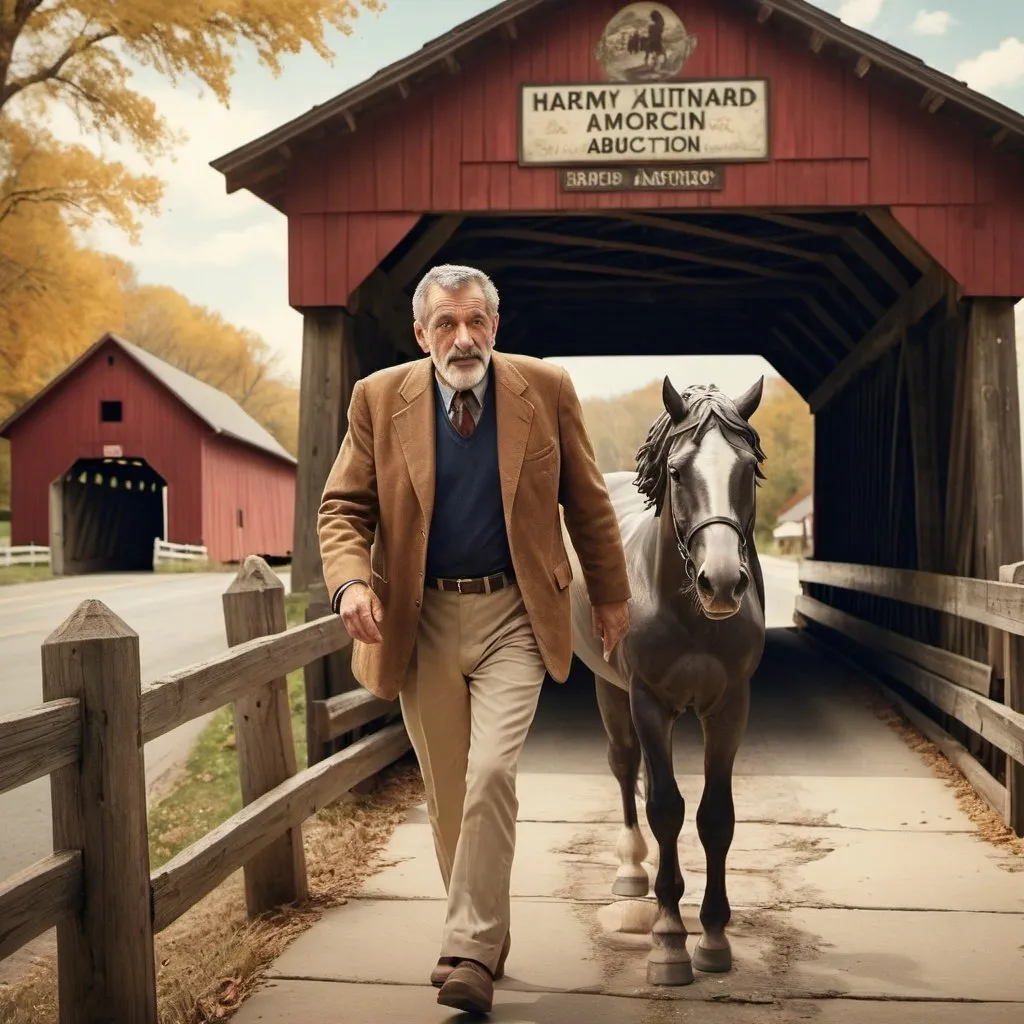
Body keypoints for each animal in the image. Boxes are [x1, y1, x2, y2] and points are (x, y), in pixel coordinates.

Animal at [561, 376, 770, 983]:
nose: (721, 582)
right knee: (626, 767)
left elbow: (715, 817)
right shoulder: (649, 702)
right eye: (677, 471)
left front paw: (715, 937)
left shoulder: (729, 709)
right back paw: (634, 874)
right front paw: (670, 939)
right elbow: (666, 809)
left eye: (748, 467)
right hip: (613, 691)